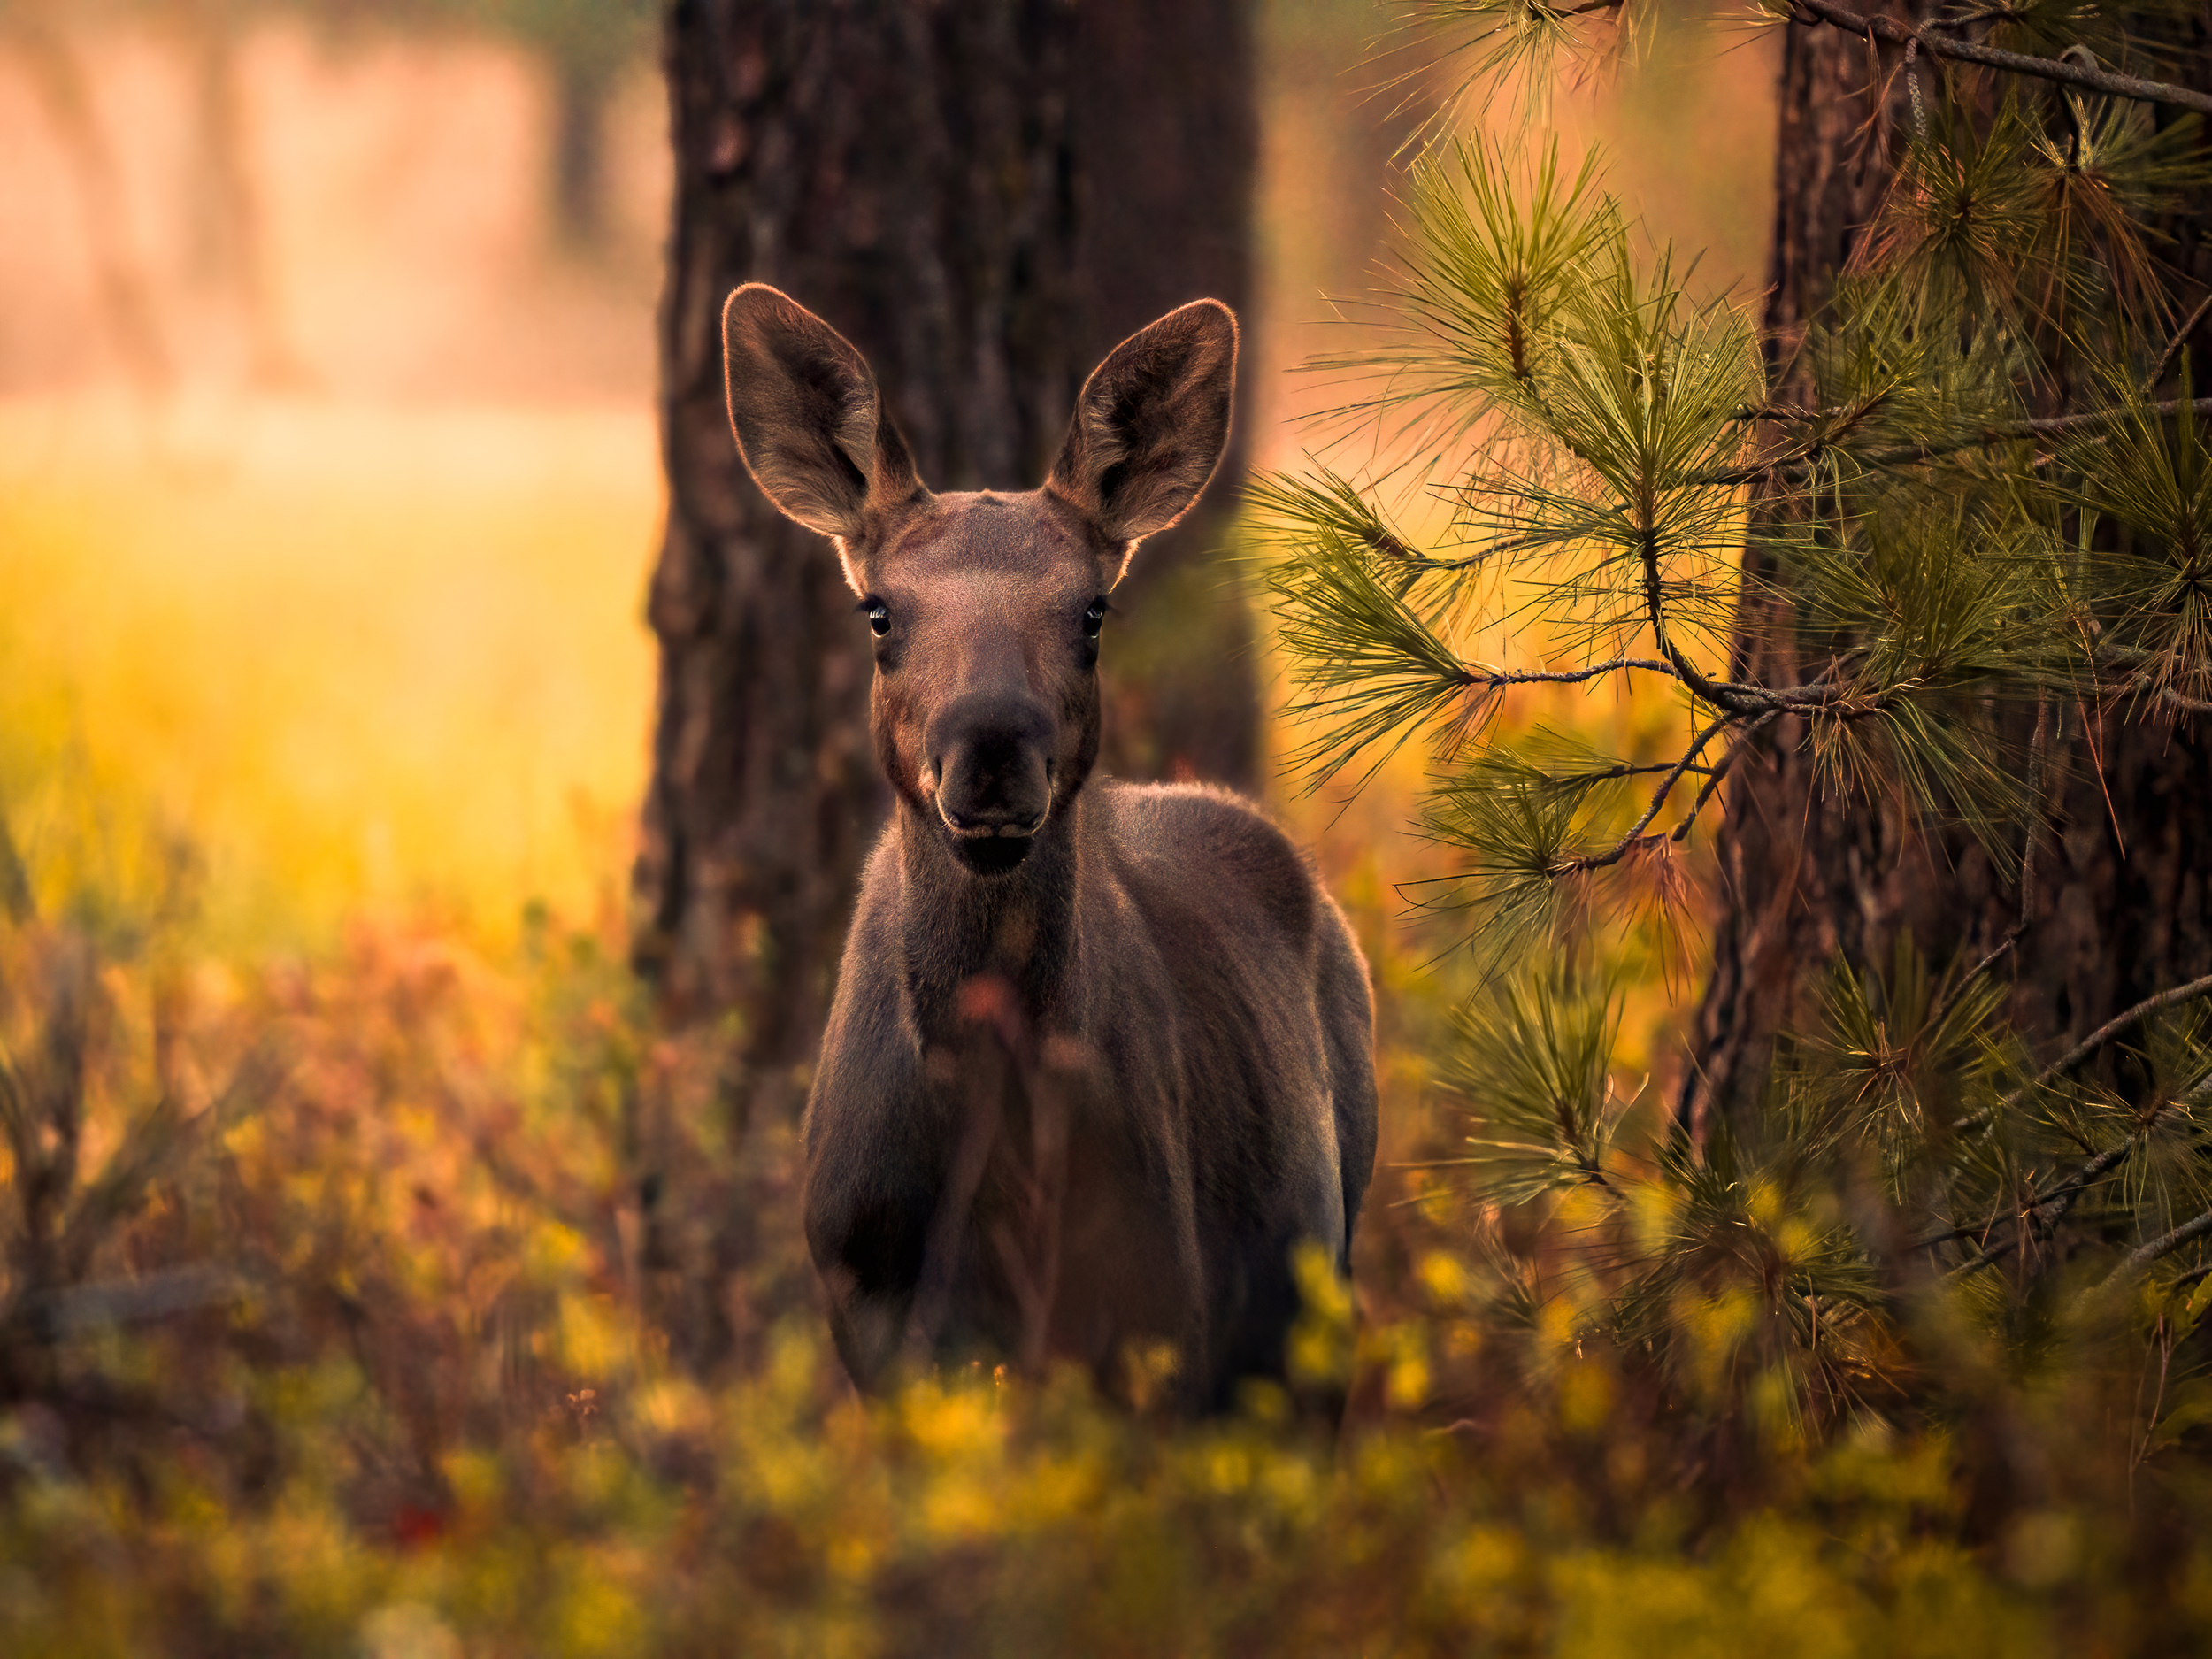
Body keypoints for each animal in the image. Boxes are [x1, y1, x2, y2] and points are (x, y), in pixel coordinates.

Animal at [721, 284, 1377, 1414]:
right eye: (877, 610)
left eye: (1092, 610)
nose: (991, 750)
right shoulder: (870, 1319)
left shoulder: (1161, 1315)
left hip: (1321, 1283)